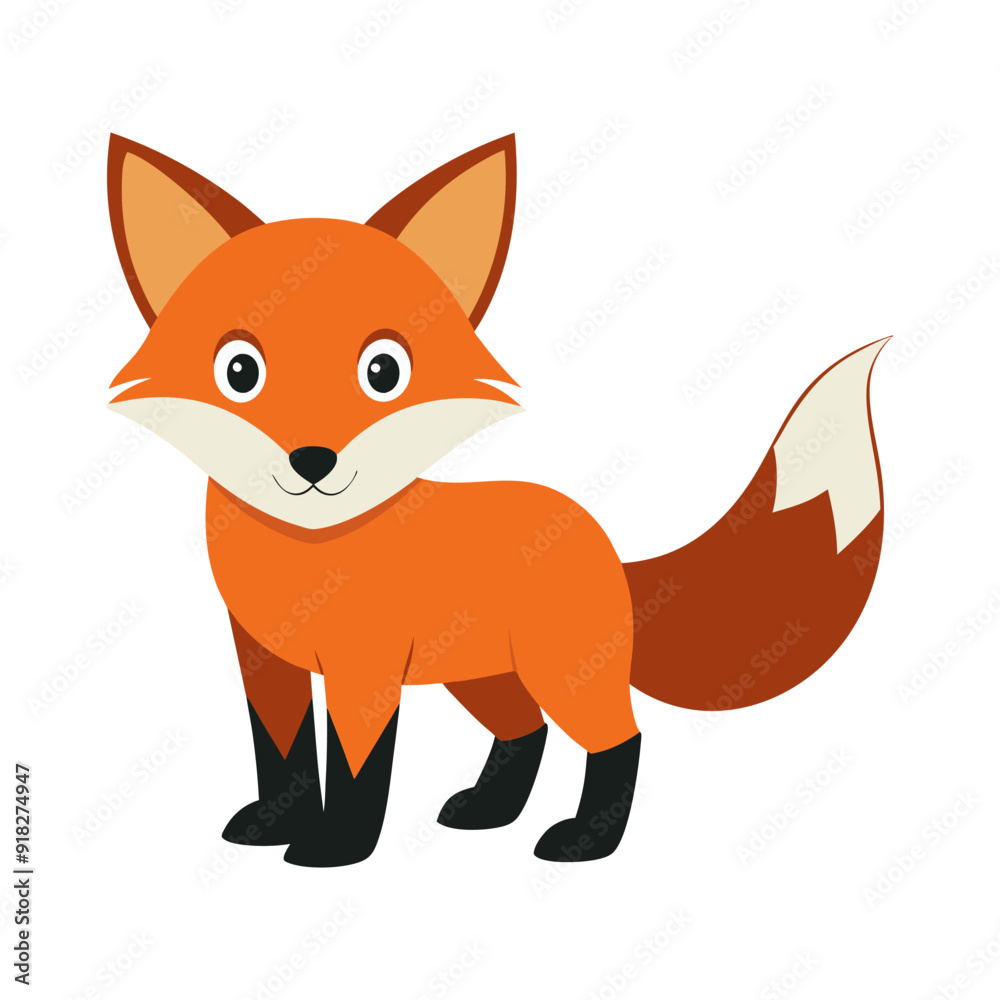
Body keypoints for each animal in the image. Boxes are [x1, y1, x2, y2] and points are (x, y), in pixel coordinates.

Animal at [105, 132, 887, 867]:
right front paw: (276, 824)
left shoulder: (365, 668)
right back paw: (490, 809)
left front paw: (336, 847)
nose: (313, 460)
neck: (310, 547)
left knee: (621, 738)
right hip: (482, 676)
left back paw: (586, 839)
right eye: (239, 371)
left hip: (563, 671)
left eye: (383, 371)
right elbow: (282, 755)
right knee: (526, 729)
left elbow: (357, 768)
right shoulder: (265, 659)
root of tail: (604, 540)